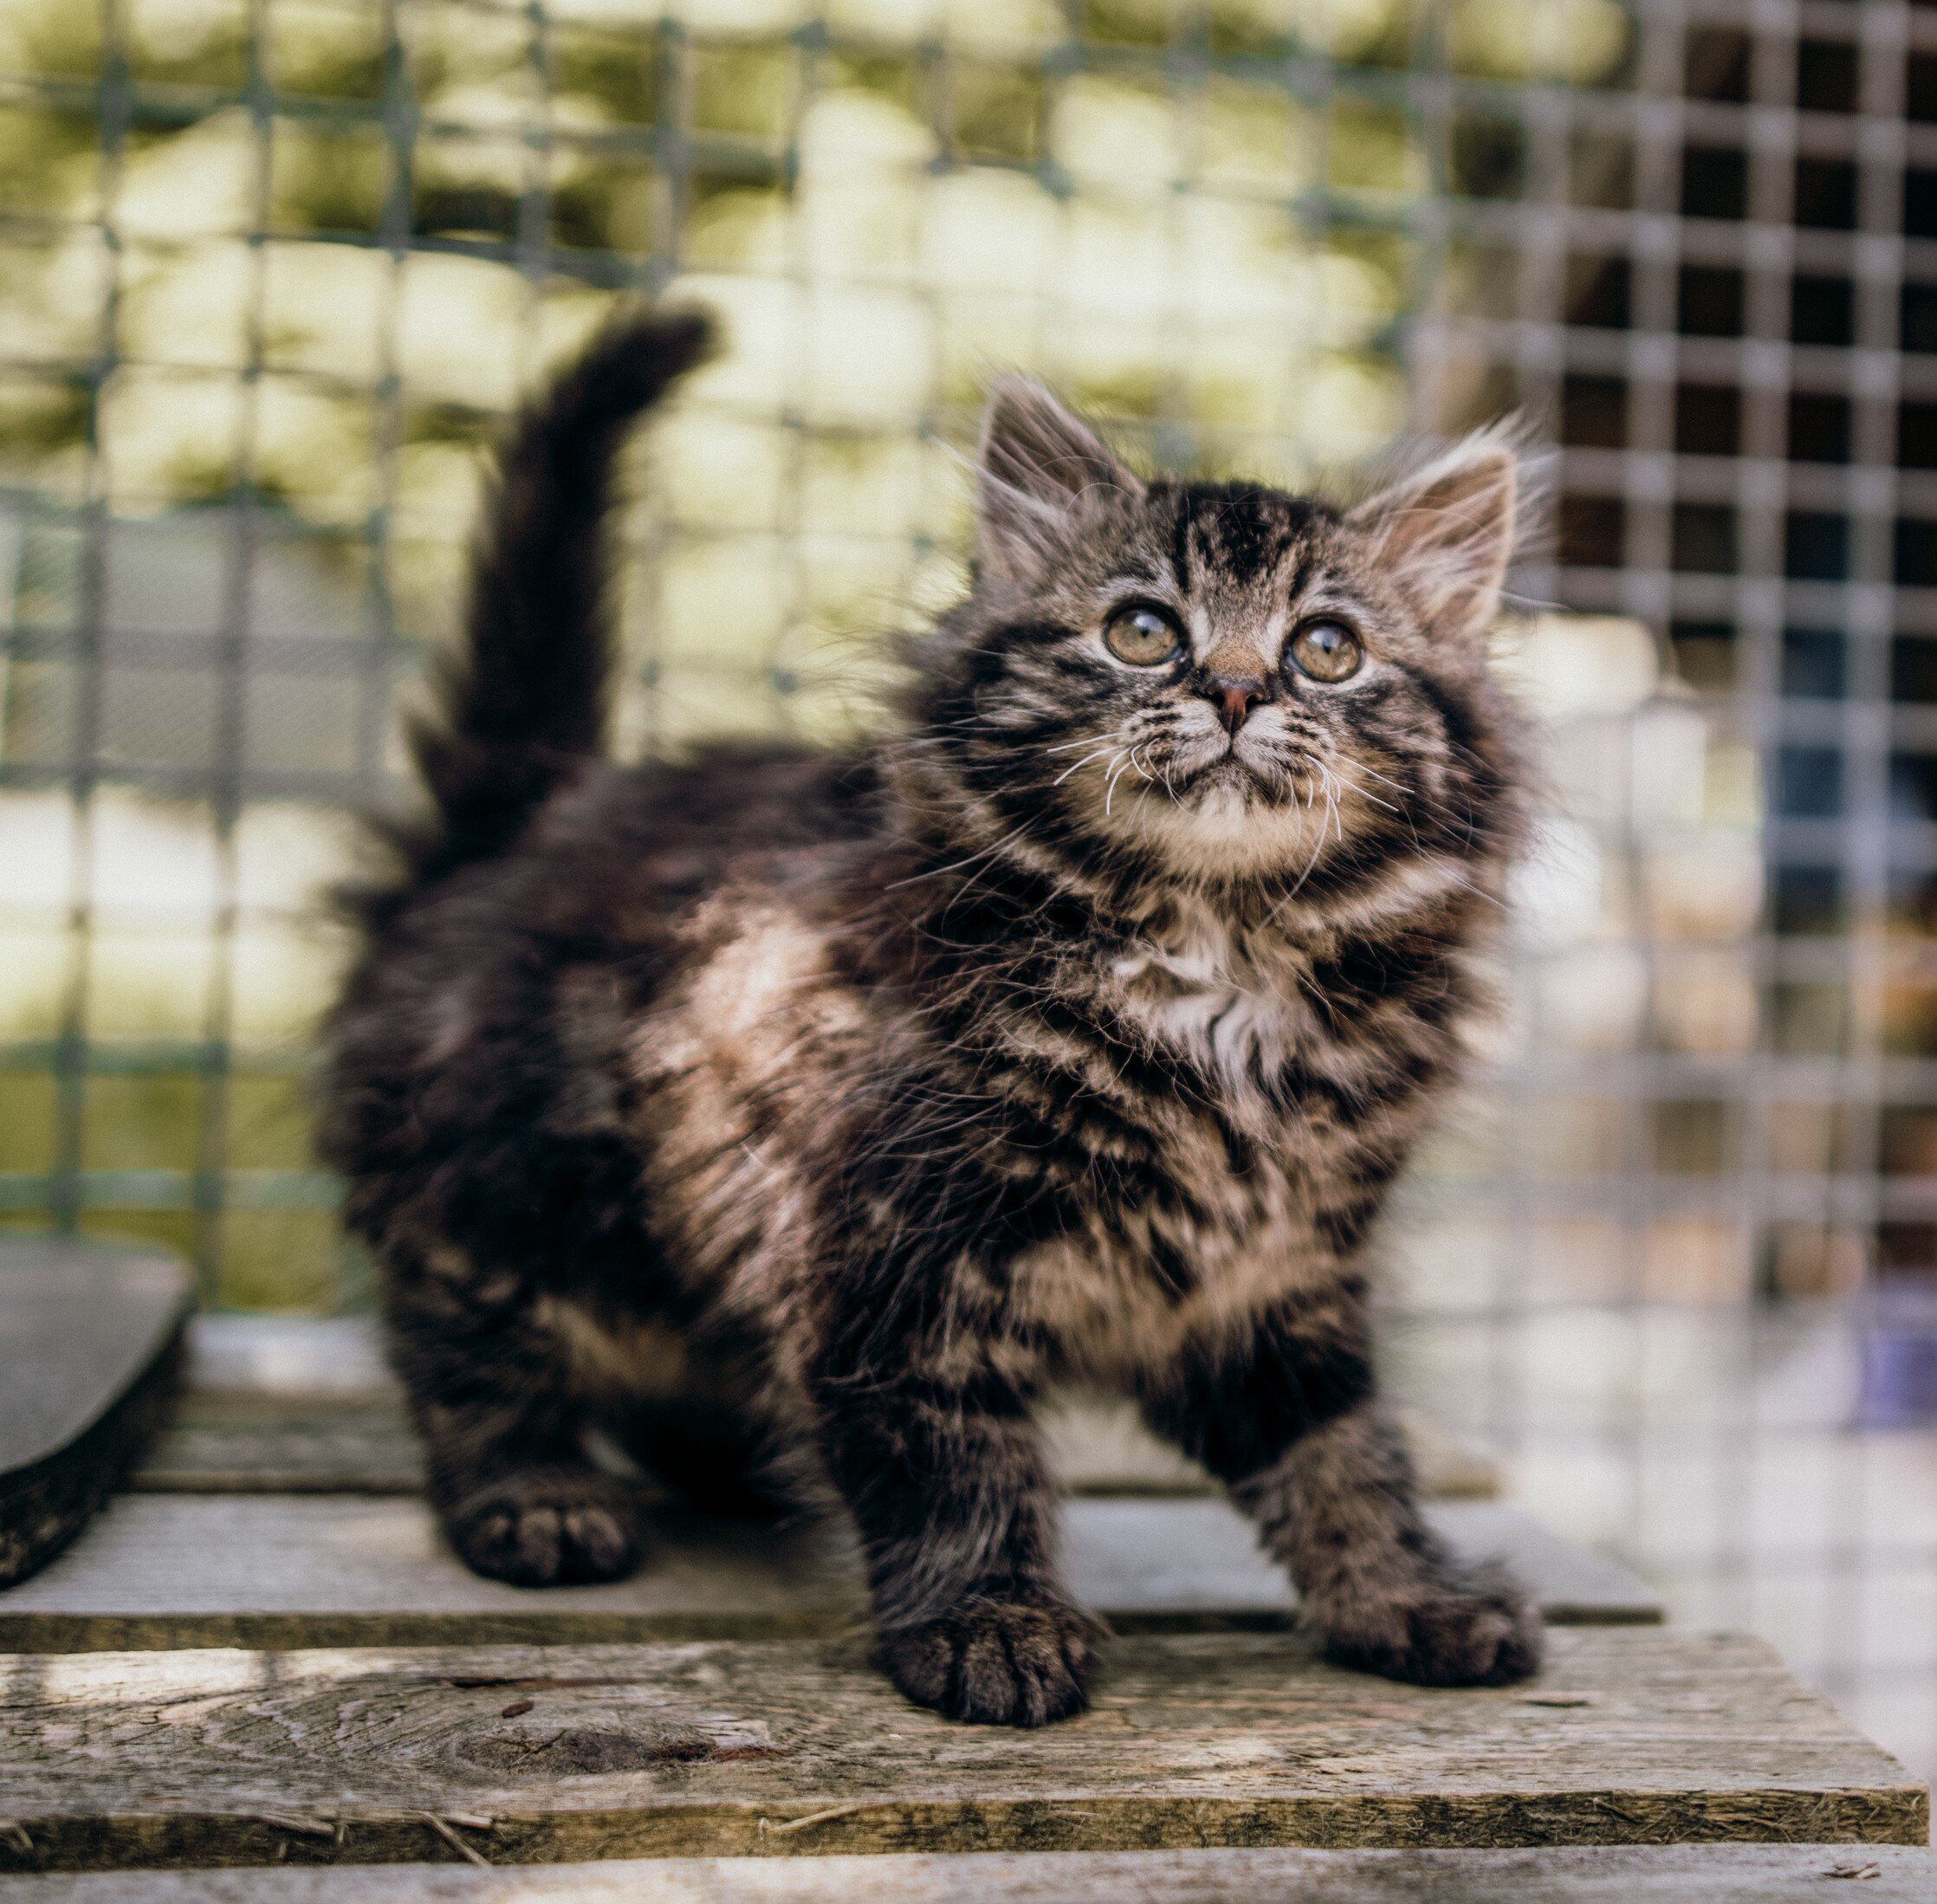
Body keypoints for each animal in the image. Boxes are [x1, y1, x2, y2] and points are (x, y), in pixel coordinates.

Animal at [321, 309, 1541, 1727]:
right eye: (1141, 630)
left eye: (1326, 649)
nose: (1239, 691)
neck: (1216, 956)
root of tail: (513, 830)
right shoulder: (886, 1248)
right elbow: (949, 1452)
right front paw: (986, 1619)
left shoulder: (1276, 1275)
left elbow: (1342, 1452)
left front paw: (1409, 1595)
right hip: (511, 1174)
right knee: (462, 1335)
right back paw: (533, 1491)